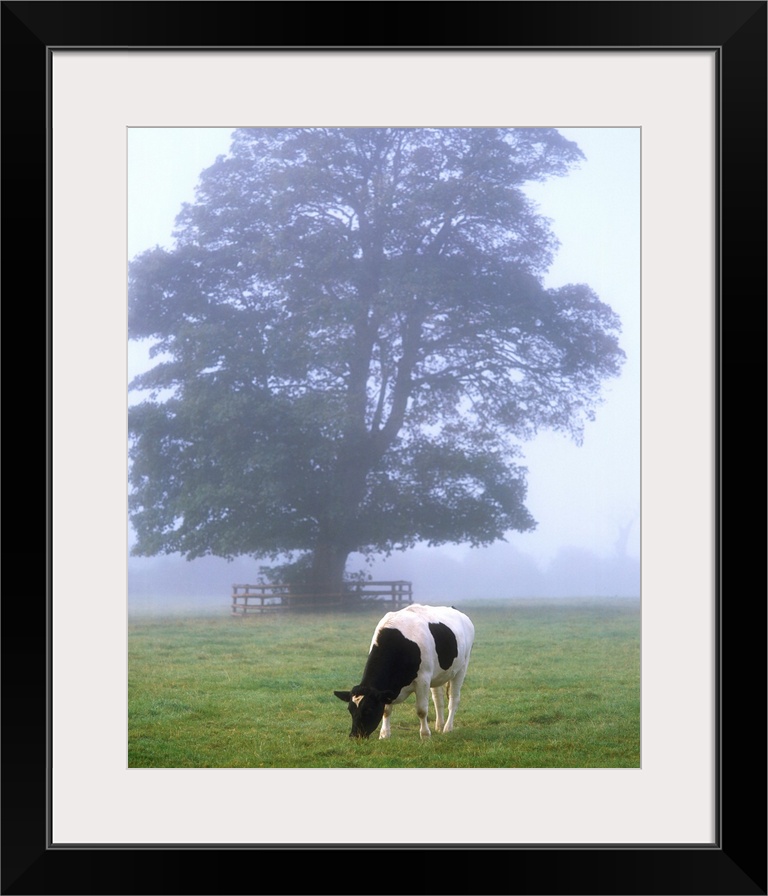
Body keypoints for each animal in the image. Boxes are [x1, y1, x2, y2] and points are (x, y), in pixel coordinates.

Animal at [334, 600, 474, 744]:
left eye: (369, 709)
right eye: (350, 709)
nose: (354, 736)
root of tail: (455, 610)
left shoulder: (423, 679)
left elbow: (421, 710)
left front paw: (425, 735)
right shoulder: (388, 690)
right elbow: (386, 710)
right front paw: (384, 734)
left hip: (462, 667)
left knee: (454, 699)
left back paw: (447, 728)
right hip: (437, 674)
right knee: (438, 700)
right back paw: (439, 726)